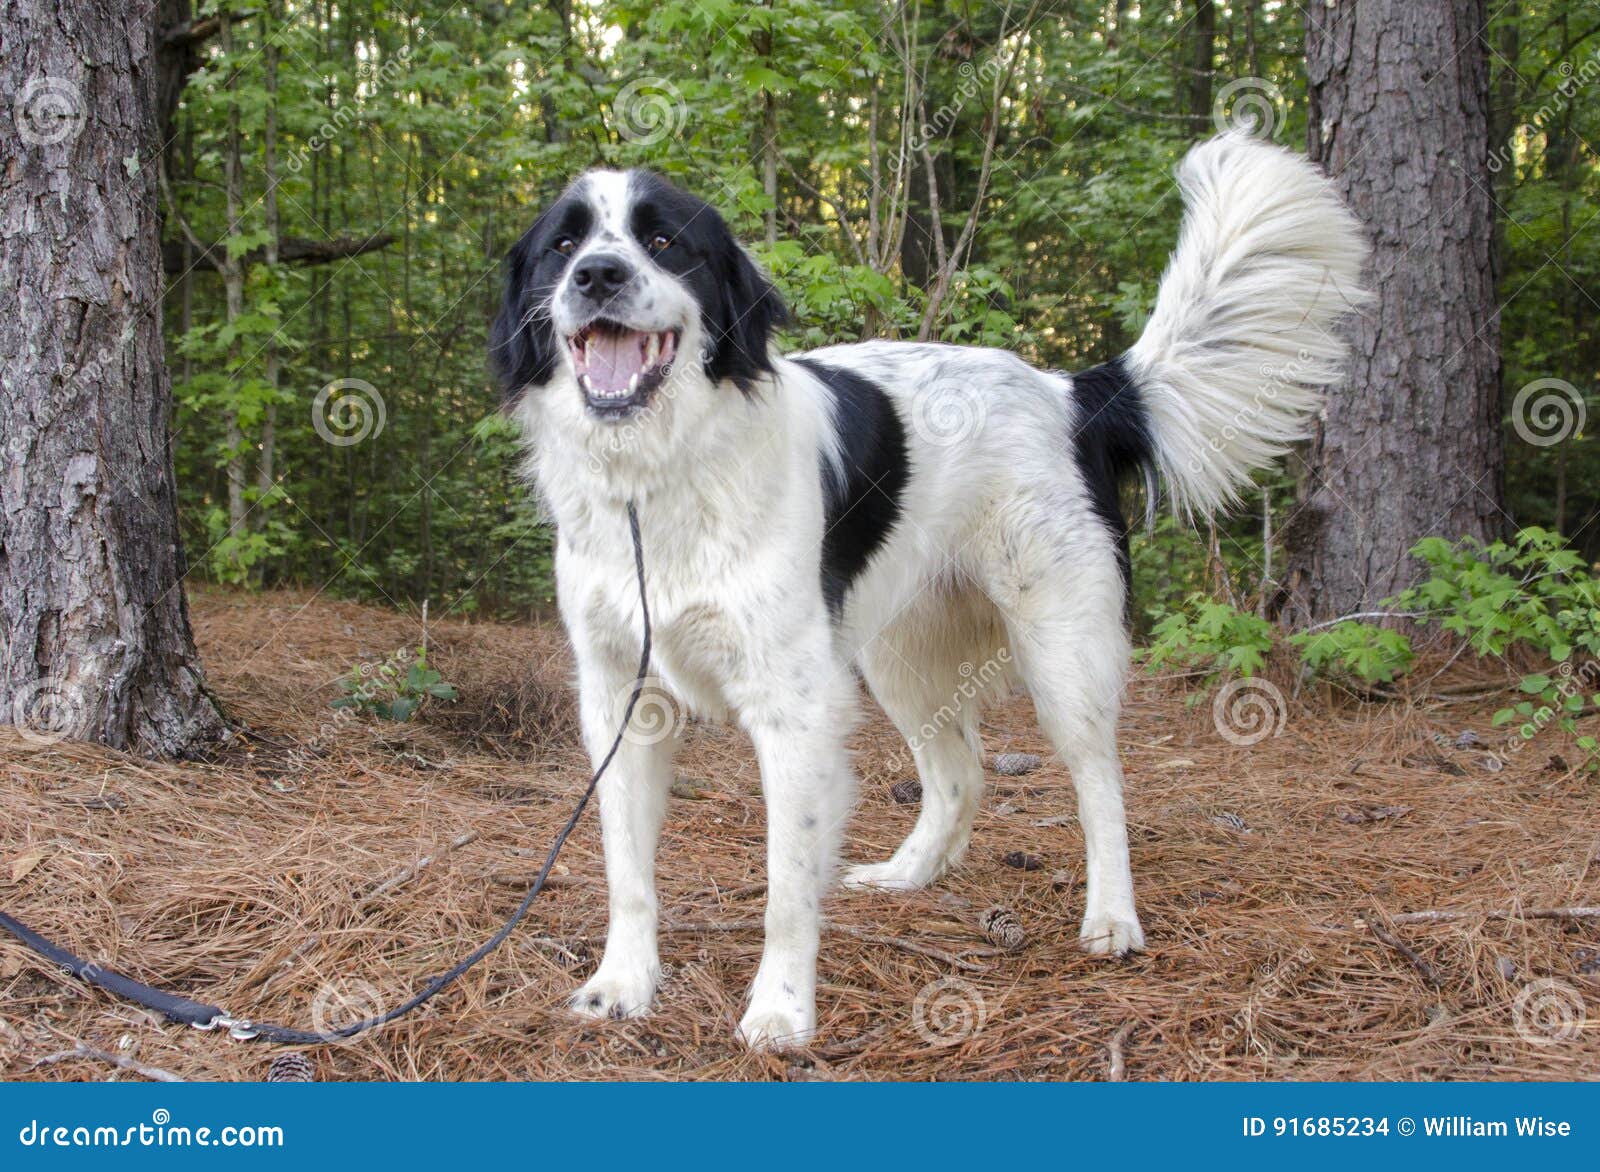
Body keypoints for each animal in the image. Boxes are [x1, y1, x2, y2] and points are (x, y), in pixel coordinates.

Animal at [486, 132, 1363, 1050]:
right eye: (563, 246)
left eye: (662, 242)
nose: (598, 276)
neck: (657, 480)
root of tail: (1073, 393)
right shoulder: (620, 696)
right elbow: (626, 869)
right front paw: (623, 982)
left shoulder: (794, 709)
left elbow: (786, 887)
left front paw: (781, 1009)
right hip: (901, 658)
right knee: (960, 774)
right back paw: (911, 873)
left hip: (1062, 652)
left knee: (1102, 784)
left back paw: (1112, 917)